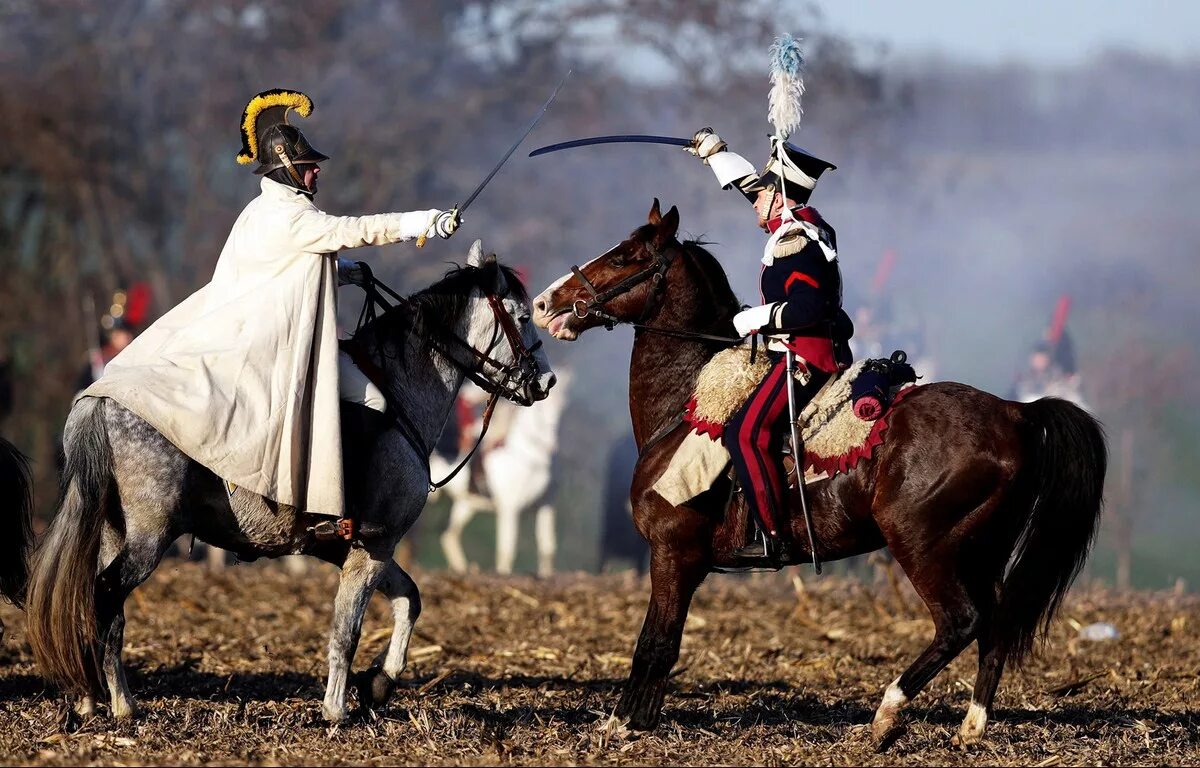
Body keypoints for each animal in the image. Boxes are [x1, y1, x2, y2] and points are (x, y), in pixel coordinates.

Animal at [22, 242, 556, 724]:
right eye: (522, 315)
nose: (545, 382)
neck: (400, 393)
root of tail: (101, 399)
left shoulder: (356, 549)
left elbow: (409, 600)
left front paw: (379, 684)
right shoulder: (375, 546)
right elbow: (348, 629)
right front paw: (337, 710)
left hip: (116, 534)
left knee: (102, 607)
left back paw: (100, 700)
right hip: (148, 539)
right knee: (104, 596)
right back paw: (112, 703)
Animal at [436, 367, 571, 576]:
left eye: (564, 407)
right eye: (541, 409)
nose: (550, 444)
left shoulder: (546, 505)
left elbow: (547, 547)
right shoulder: (510, 509)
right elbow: (507, 549)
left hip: (467, 504)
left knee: (449, 535)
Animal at [535, 201, 1104, 748]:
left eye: (625, 257)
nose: (545, 304)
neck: (686, 405)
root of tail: (1017, 412)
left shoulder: (673, 555)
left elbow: (654, 644)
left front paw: (622, 725)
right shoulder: (679, 562)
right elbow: (661, 643)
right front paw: (637, 721)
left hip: (923, 546)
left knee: (961, 623)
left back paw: (886, 716)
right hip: (978, 551)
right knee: (996, 628)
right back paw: (971, 728)